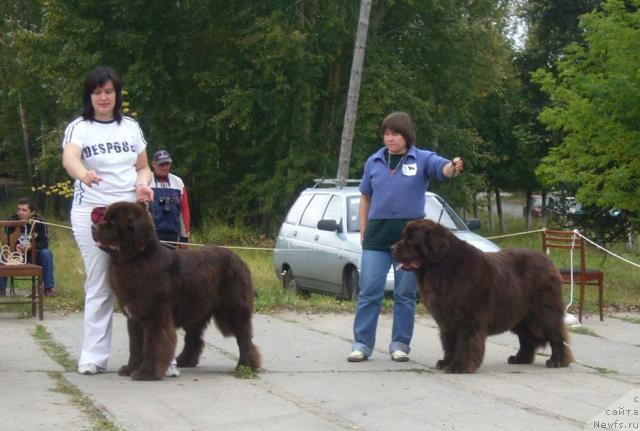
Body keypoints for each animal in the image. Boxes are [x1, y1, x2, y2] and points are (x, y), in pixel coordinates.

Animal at [90, 202, 260, 382]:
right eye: (104, 218)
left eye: (113, 222)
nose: (93, 227)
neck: (135, 260)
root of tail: (239, 259)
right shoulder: (134, 317)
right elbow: (135, 346)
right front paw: (130, 369)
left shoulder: (154, 316)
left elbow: (152, 345)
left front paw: (147, 373)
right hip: (197, 305)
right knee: (194, 337)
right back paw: (185, 360)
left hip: (232, 308)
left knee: (244, 336)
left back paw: (245, 366)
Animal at [390, 221, 576, 372]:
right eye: (403, 237)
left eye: (411, 240)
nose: (391, 248)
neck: (442, 267)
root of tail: (548, 260)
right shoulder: (447, 320)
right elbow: (449, 343)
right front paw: (446, 362)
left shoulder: (467, 319)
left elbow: (464, 343)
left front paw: (459, 366)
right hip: (520, 316)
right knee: (527, 338)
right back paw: (520, 359)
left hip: (545, 312)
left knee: (556, 336)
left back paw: (557, 361)